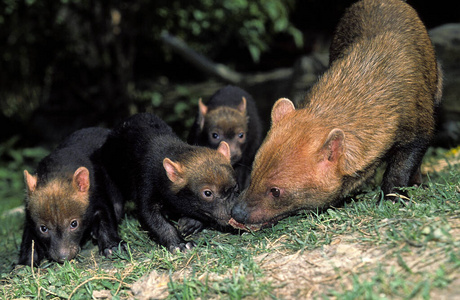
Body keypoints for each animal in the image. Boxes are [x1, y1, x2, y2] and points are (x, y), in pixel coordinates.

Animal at [18, 127, 124, 266]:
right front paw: (25, 262)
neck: (59, 171)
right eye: (43, 228)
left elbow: (106, 216)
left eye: (74, 224)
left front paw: (112, 247)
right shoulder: (29, 215)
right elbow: (29, 237)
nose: (63, 257)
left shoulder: (97, 193)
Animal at [100, 112, 237, 251]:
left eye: (235, 187)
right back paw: (112, 245)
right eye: (208, 193)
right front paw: (180, 244)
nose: (233, 213)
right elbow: (152, 217)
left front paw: (191, 222)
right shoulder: (146, 181)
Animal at [230, 0, 442, 231]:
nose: (236, 213)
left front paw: (394, 198)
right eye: (254, 170)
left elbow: (400, 170)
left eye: (275, 191)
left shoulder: (419, 131)